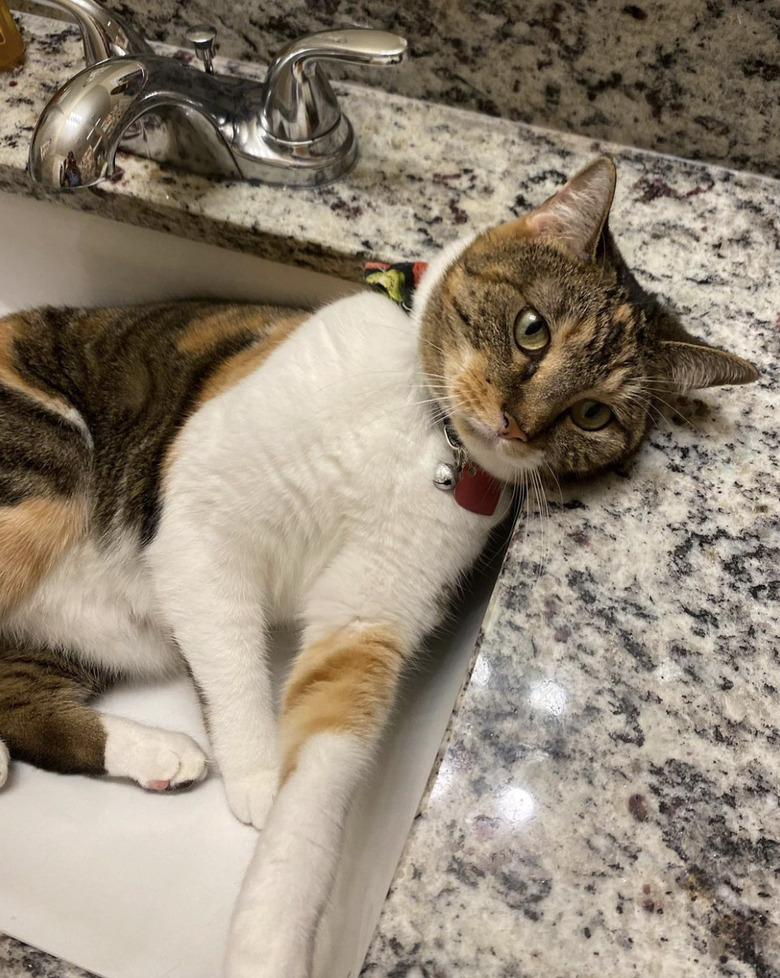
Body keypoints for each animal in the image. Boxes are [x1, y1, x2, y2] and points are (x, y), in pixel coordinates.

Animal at [0, 156, 760, 972]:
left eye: (594, 414)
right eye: (532, 329)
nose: (517, 426)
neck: (423, 434)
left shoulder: (368, 615)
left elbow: (321, 776)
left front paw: (271, 935)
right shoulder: (203, 524)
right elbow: (232, 666)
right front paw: (258, 774)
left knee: (22, 704)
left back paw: (147, 751)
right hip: (44, 474)